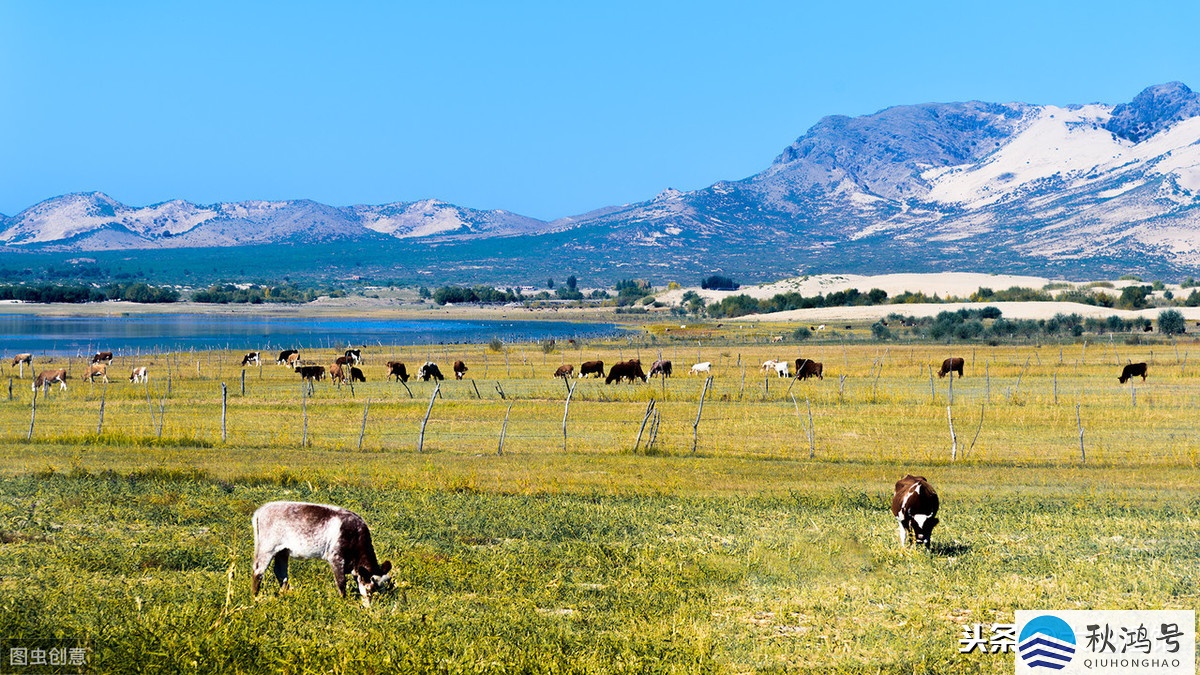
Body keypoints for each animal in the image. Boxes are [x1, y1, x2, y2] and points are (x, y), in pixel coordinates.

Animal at [252, 499, 393, 605]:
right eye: (371, 589)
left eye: (384, 589)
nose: (373, 608)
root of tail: (261, 510)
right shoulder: (336, 557)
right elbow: (341, 583)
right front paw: (344, 602)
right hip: (267, 547)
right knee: (258, 571)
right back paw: (255, 597)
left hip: (282, 551)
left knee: (281, 573)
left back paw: (286, 593)